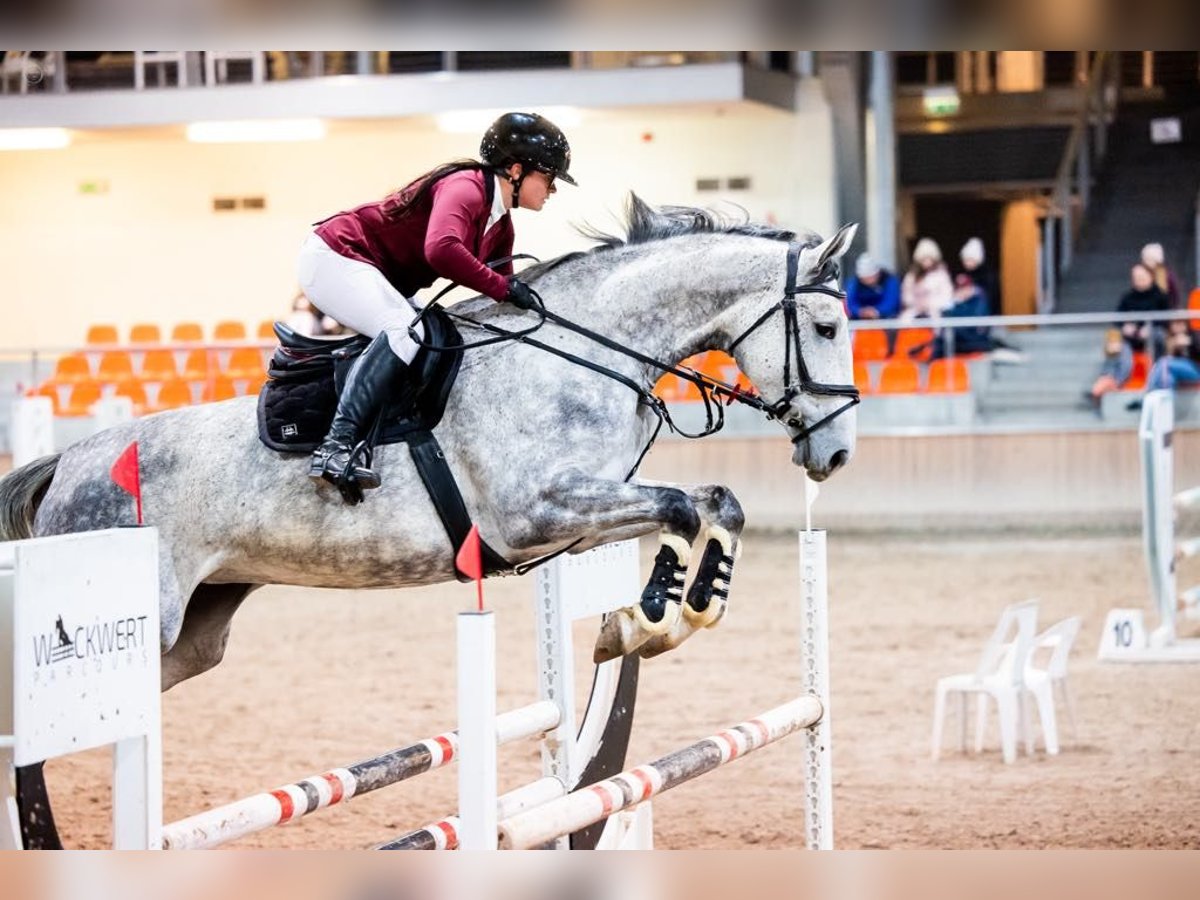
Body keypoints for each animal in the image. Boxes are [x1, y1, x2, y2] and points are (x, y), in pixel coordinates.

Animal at [0, 195, 854, 691]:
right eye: (826, 326)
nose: (838, 456)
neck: (582, 349)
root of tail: (67, 464)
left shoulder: (578, 517)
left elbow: (715, 502)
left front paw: (690, 605)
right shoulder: (537, 512)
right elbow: (679, 506)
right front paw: (650, 618)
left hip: (192, 635)